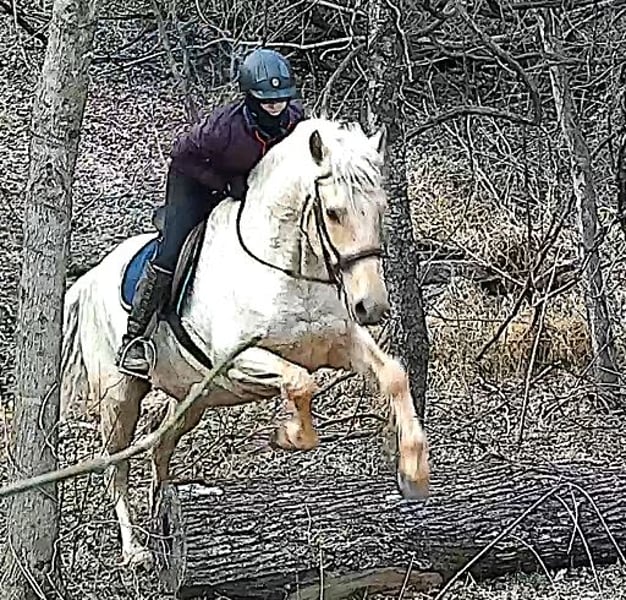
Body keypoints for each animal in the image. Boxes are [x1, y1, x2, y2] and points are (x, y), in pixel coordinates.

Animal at [59, 116, 430, 570]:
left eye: (380, 211)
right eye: (333, 212)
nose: (372, 306)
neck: (289, 267)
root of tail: (91, 277)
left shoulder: (339, 343)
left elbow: (392, 375)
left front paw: (413, 474)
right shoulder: (237, 361)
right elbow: (301, 382)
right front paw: (288, 436)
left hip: (194, 399)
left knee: (160, 445)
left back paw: (164, 518)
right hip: (119, 397)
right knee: (116, 464)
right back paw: (135, 549)